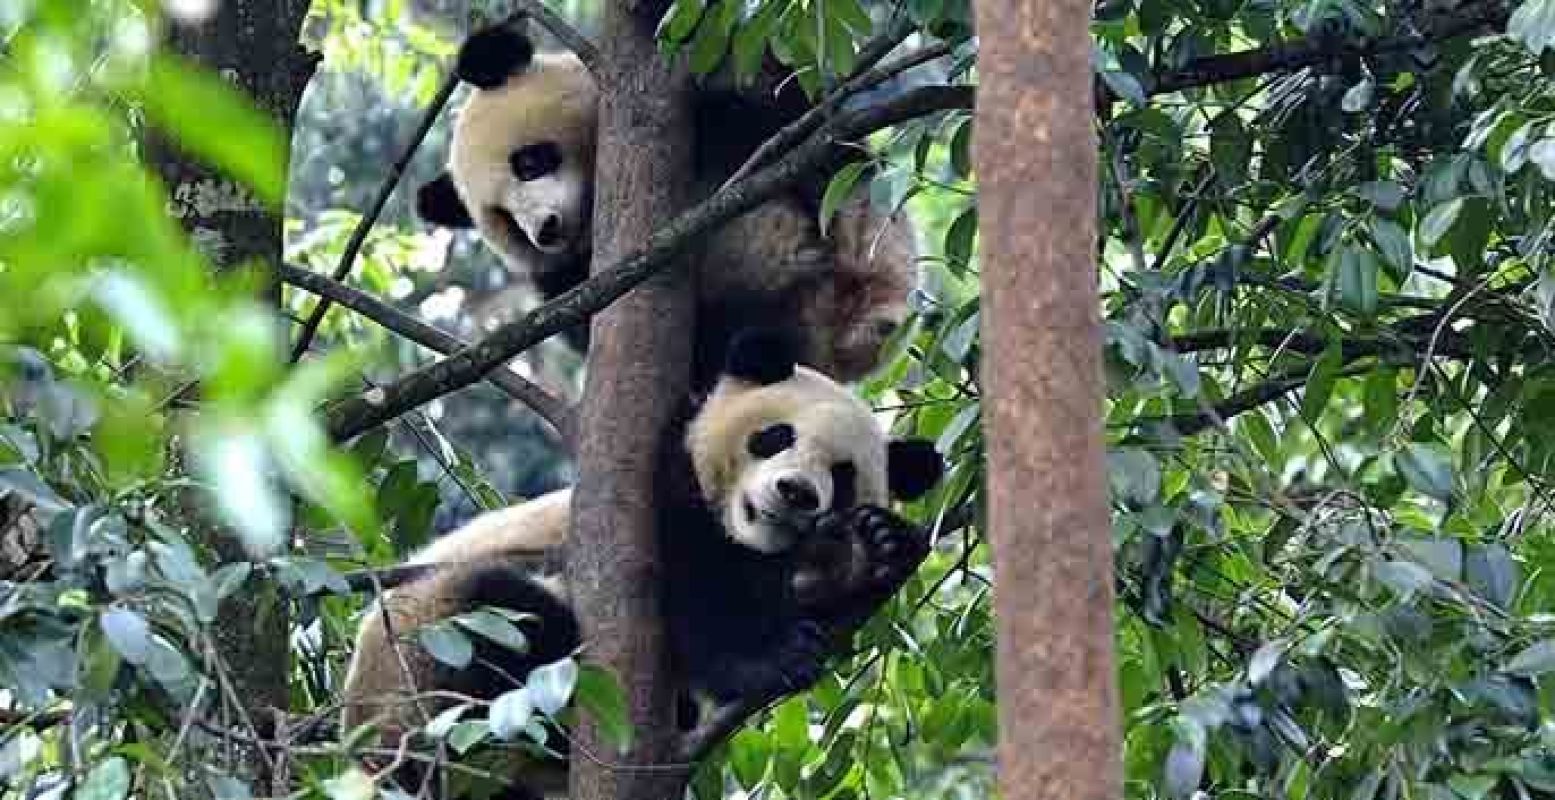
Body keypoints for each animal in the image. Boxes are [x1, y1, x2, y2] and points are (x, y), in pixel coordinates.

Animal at [342, 326, 939, 793]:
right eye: (775, 436)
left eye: (842, 475)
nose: (795, 492)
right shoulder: (669, 485)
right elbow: (700, 596)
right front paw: (772, 657)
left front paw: (876, 548)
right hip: (424, 648)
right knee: (506, 612)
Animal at [416, 23, 920, 384]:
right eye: (505, 219)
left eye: (529, 162)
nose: (546, 230)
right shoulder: (563, 278)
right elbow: (578, 321)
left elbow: (776, 105)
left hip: (865, 240)